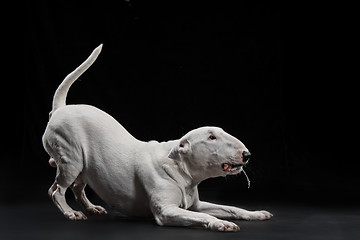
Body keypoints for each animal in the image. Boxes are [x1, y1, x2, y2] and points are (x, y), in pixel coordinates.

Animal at [42, 44, 272, 231]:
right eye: (211, 137)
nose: (247, 154)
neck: (182, 171)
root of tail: (61, 109)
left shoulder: (196, 204)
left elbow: (230, 208)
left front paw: (255, 213)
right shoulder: (167, 211)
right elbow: (202, 216)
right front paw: (221, 223)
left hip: (83, 164)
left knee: (75, 187)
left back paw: (91, 208)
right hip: (70, 159)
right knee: (56, 190)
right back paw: (71, 212)